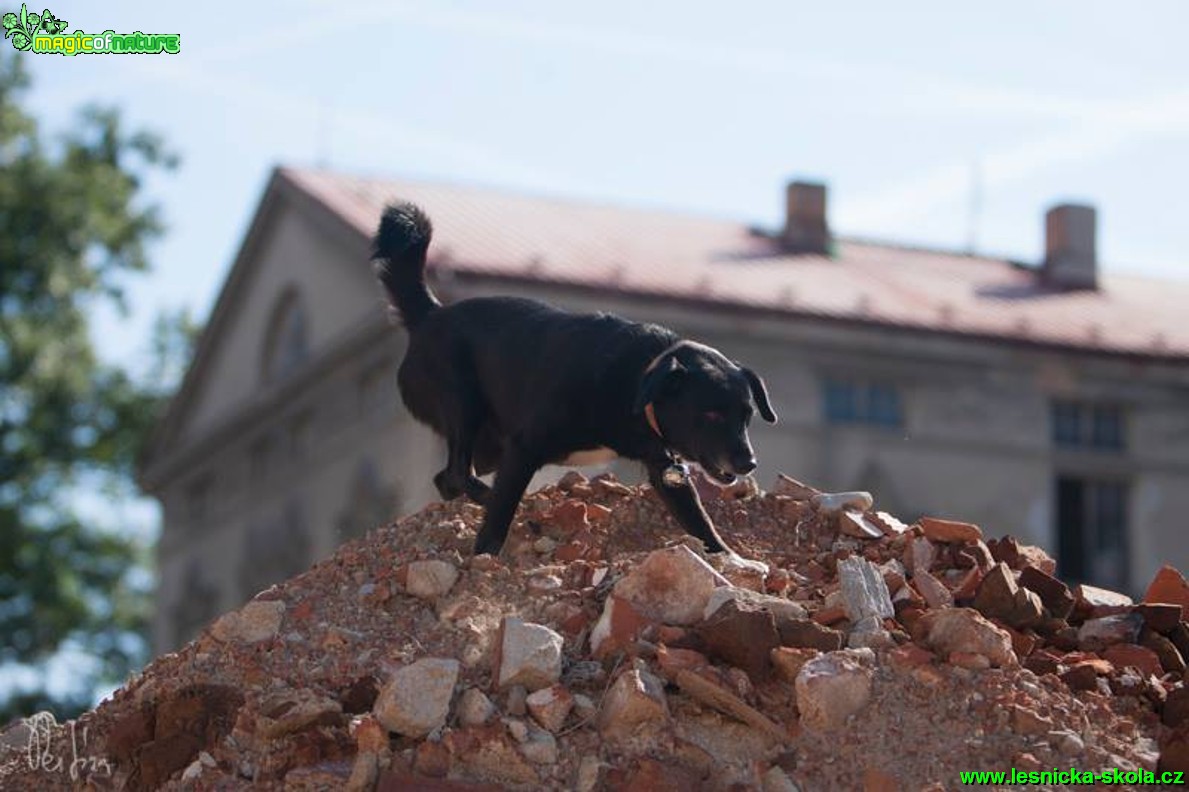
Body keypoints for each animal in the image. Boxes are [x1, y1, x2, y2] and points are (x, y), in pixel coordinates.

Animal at [373, 202, 779, 554]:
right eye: (710, 414)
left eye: (747, 416)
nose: (748, 464)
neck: (637, 378)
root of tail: (429, 315)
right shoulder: (524, 447)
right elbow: (500, 516)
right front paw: (486, 555)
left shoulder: (665, 470)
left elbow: (699, 522)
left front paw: (730, 559)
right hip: (465, 405)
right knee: (461, 473)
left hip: (490, 445)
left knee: (447, 479)